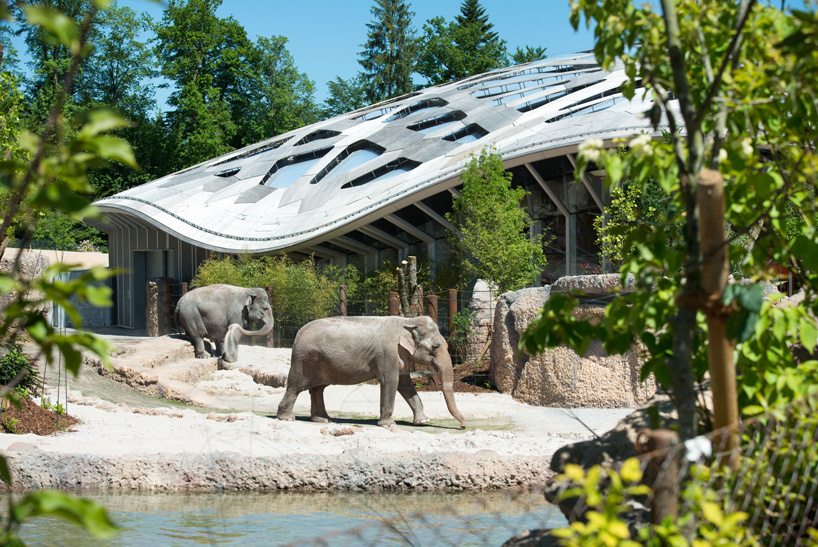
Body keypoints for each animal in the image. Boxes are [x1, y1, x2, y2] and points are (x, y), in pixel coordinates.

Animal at [276, 315, 466, 429]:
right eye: (435, 347)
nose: (462, 426)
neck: (408, 320)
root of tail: (298, 333)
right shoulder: (387, 353)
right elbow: (391, 382)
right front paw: (388, 425)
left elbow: (406, 385)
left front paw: (423, 421)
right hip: (304, 360)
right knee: (296, 386)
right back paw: (287, 418)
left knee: (318, 389)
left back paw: (323, 419)